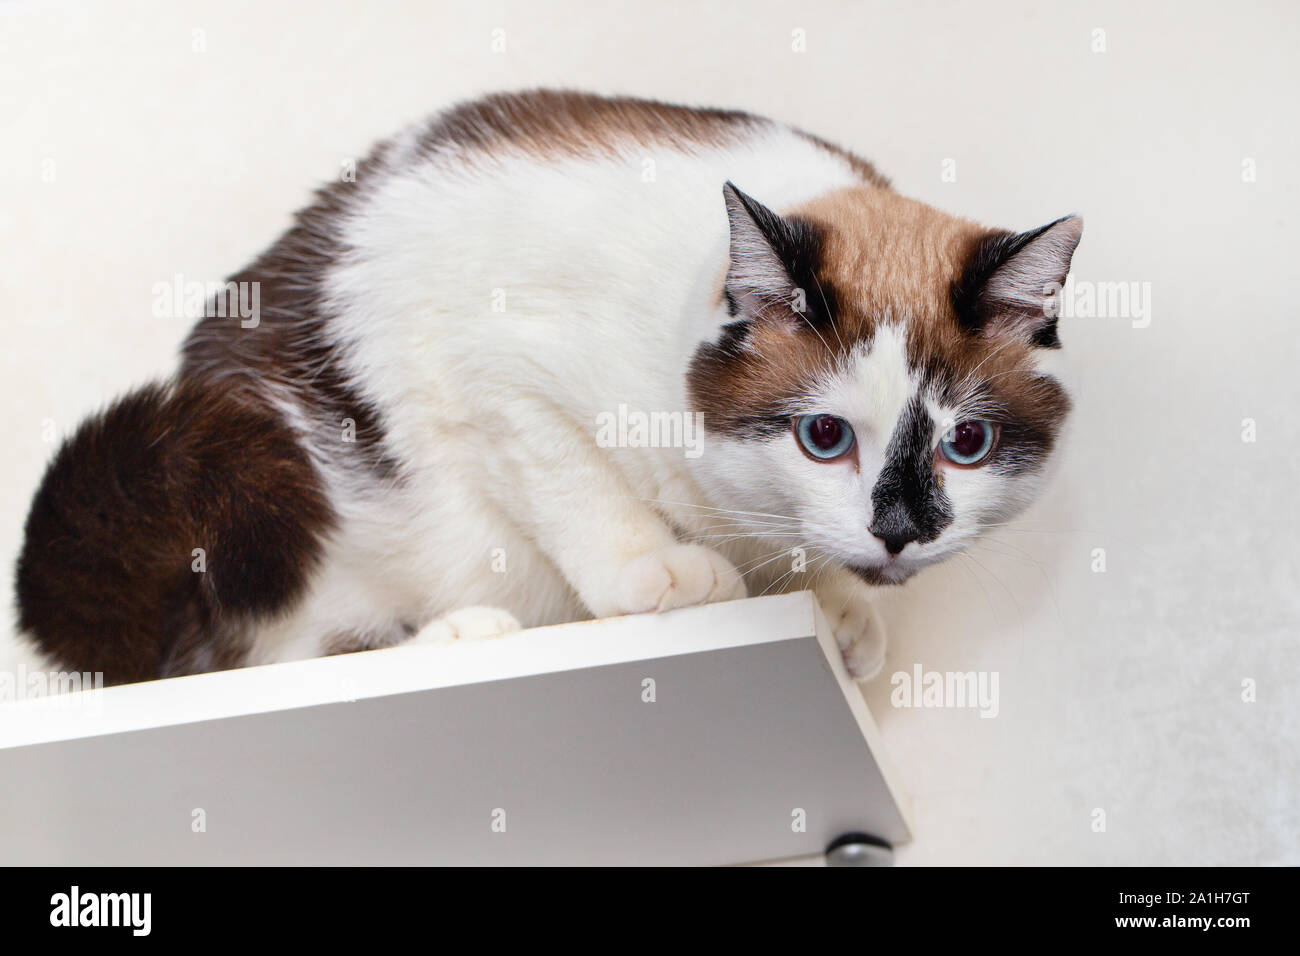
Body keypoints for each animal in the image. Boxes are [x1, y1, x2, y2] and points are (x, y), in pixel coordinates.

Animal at [12, 89, 1076, 686]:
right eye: (825, 436)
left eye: (967, 444)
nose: (898, 533)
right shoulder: (497, 377)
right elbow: (581, 491)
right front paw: (660, 572)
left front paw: (835, 605)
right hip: (273, 500)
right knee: (262, 659)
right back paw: (455, 636)